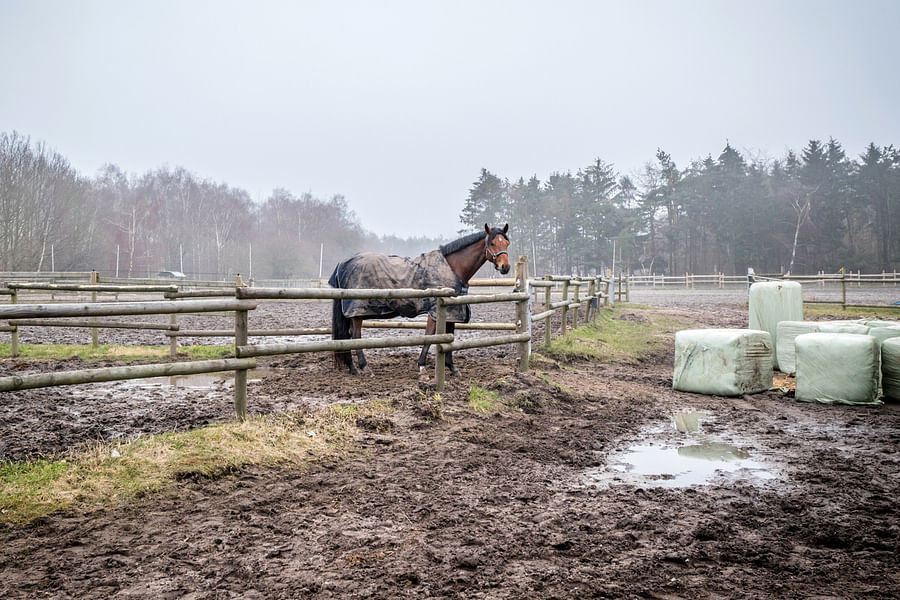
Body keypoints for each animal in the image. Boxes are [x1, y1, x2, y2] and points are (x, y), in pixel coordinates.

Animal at [329, 223, 511, 376]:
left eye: (507, 243)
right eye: (492, 243)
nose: (505, 267)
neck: (452, 267)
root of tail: (343, 264)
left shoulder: (452, 312)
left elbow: (449, 336)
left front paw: (452, 368)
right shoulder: (435, 311)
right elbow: (430, 336)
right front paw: (422, 366)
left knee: (347, 337)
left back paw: (352, 368)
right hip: (356, 312)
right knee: (355, 336)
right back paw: (364, 367)